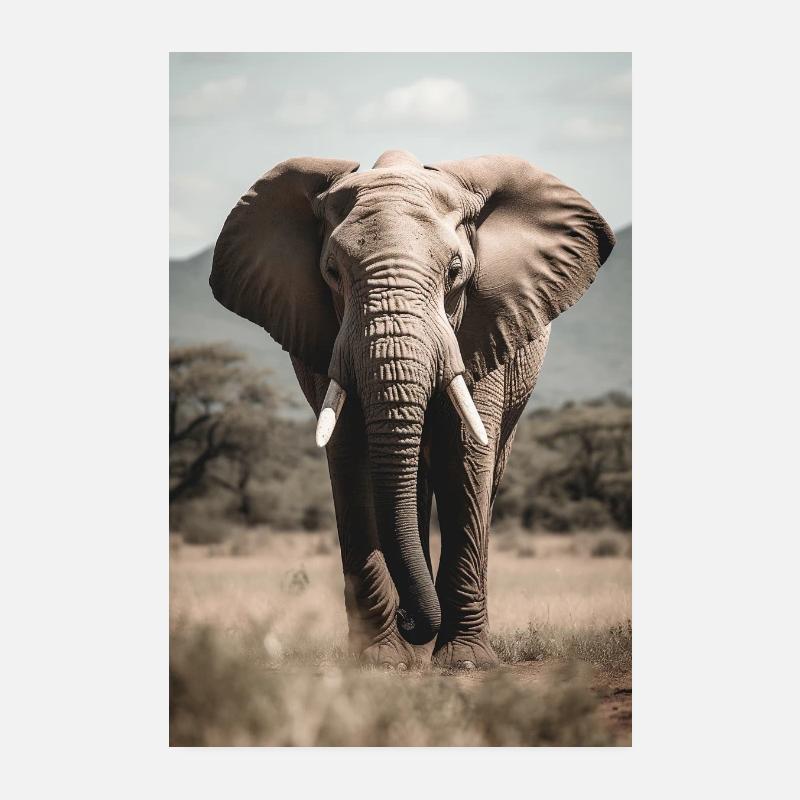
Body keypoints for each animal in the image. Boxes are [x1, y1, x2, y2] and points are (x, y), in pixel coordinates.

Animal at [209, 150, 614, 670]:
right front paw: (382, 660)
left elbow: (464, 458)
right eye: (332, 272)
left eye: (456, 271)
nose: (411, 620)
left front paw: (464, 662)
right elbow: (352, 456)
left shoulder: (485, 325)